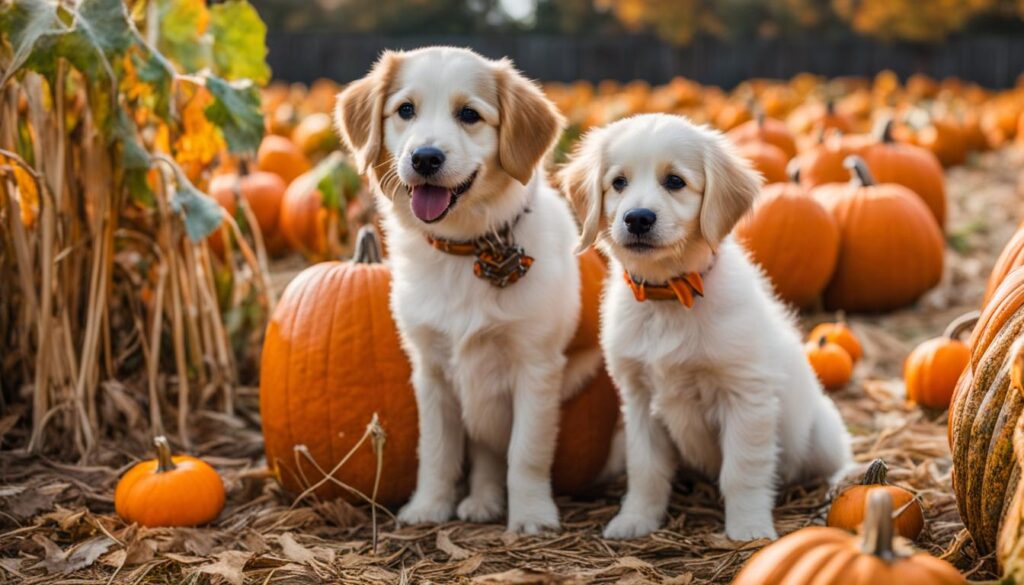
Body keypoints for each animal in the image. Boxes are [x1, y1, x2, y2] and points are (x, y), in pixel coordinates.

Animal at [333, 48, 581, 532]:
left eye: (469, 115)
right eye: (405, 110)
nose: (425, 158)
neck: (464, 249)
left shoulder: (537, 366)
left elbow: (526, 452)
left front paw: (531, 514)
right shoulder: (430, 371)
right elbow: (436, 451)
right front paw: (429, 505)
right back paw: (481, 499)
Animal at [561, 113, 847, 540]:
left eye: (675, 181)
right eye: (619, 182)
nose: (638, 218)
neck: (668, 295)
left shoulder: (746, 395)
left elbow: (742, 471)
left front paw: (749, 529)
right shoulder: (638, 398)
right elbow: (645, 469)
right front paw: (636, 519)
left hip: (821, 432)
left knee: (841, 455)